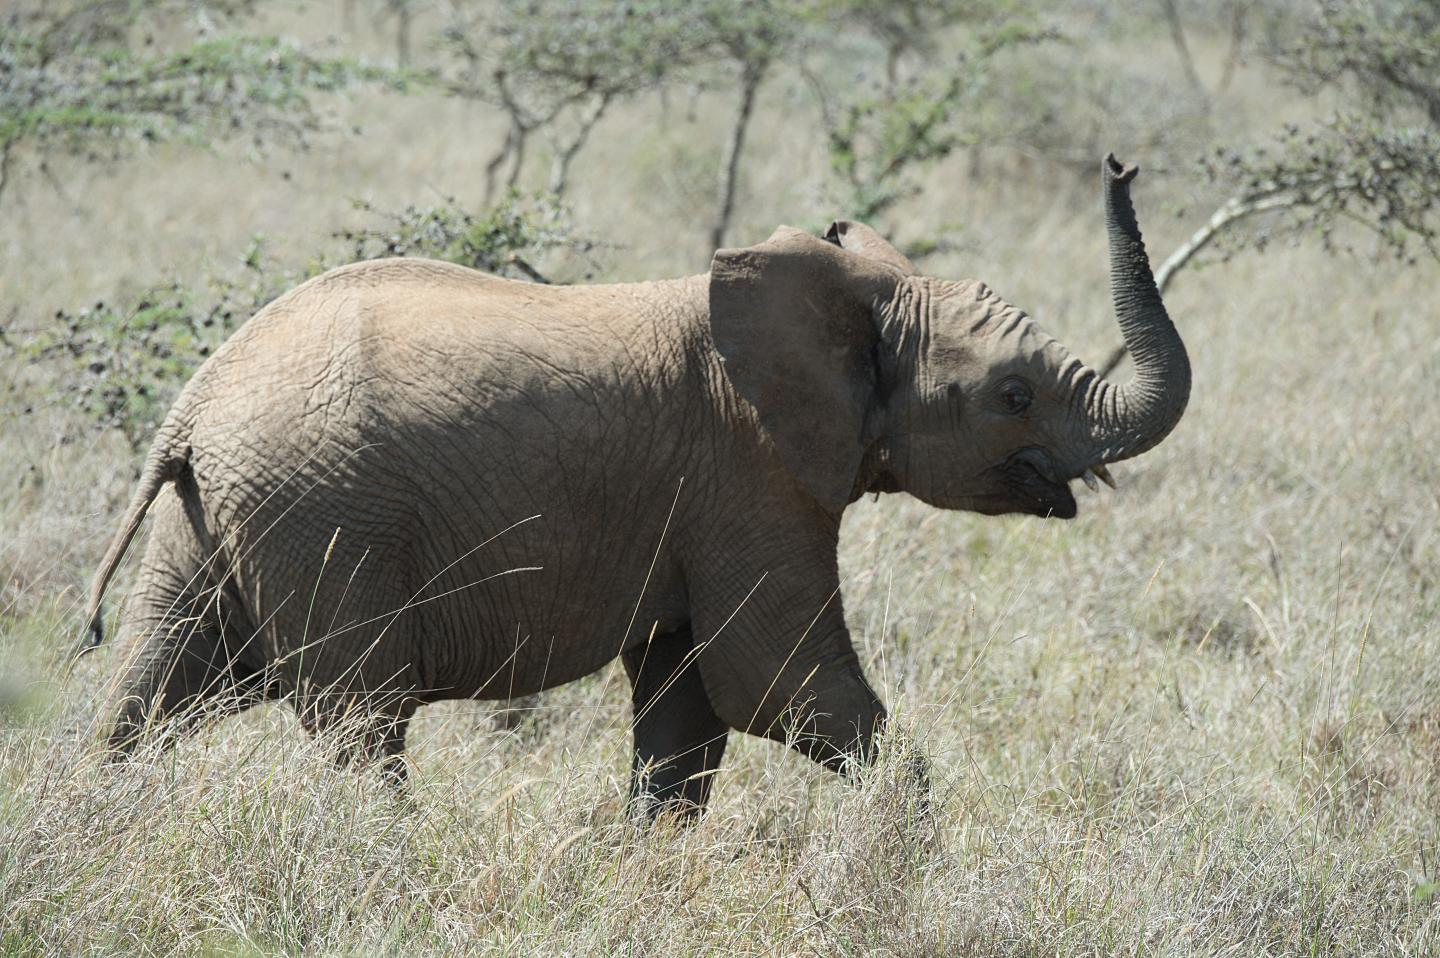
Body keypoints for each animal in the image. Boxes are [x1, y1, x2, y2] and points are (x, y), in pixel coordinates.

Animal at [75, 157, 1192, 812]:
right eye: (1013, 394)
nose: (1120, 162)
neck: (845, 297)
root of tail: (192, 405)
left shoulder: (702, 498)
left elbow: (687, 717)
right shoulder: (749, 472)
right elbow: (774, 681)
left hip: (219, 519)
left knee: (147, 695)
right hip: (324, 515)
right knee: (360, 726)